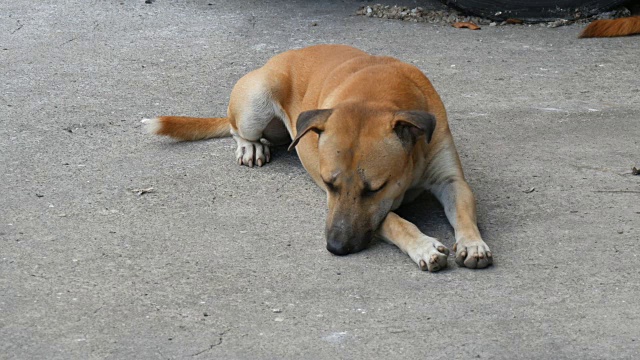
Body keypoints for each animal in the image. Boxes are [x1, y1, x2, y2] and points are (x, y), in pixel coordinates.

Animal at [142, 44, 492, 270]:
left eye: (375, 188)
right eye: (328, 183)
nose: (335, 248)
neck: (379, 96)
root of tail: (277, 59)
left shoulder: (451, 180)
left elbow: (463, 210)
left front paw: (472, 242)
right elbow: (394, 221)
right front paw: (423, 245)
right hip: (257, 100)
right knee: (235, 128)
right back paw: (249, 145)